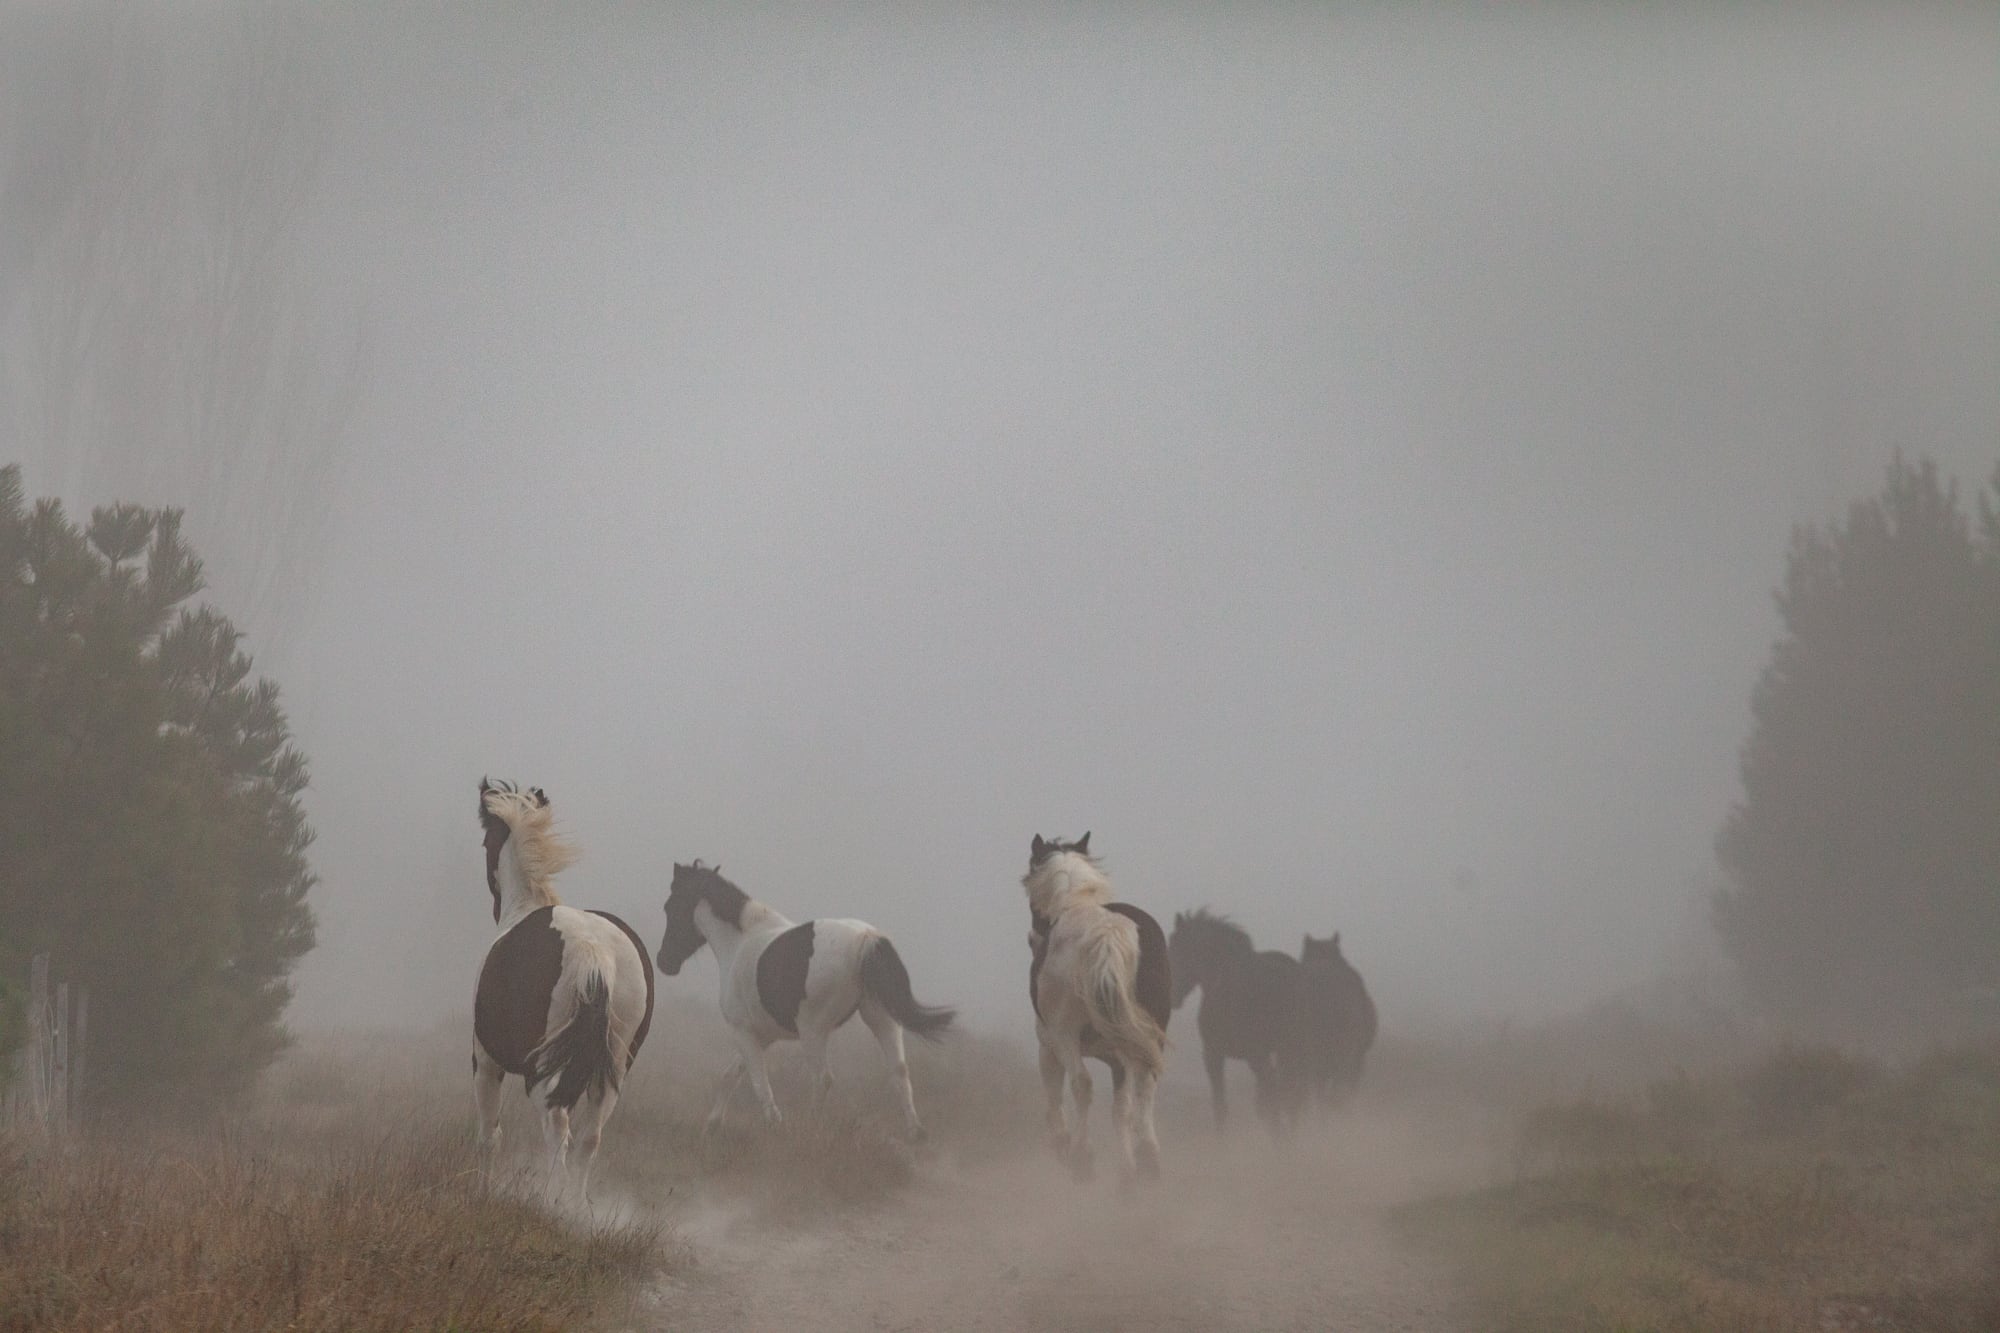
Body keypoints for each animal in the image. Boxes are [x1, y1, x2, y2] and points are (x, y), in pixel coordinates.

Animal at [472, 780, 655, 1202]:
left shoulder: (484, 1061)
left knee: (557, 1129)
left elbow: (490, 1136)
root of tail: (592, 950)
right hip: (614, 1068)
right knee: (589, 1138)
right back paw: (575, 1205)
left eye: (487, 841)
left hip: (543, 1070)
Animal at [655, 859, 954, 1141]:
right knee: (899, 1071)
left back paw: (810, 1131)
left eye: (670, 906)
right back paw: (916, 1134)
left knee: (822, 1079)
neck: (741, 942)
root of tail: (866, 939)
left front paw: (776, 1127)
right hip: (881, 1018)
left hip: (814, 1030)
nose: (663, 962)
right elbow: (731, 1075)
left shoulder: (743, 1031)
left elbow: (759, 1084)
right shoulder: (763, 1035)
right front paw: (711, 1127)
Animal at [1022, 833, 1169, 1184]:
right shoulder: (1119, 1059)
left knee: (1082, 1084)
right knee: (1146, 1087)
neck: (1075, 904)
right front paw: (1128, 1168)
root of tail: (1108, 932)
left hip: (1064, 1036)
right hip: (1147, 1038)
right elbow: (1121, 1110)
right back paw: (1146, 1161)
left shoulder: (1048, 1045)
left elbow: (1056, 1097)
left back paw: (1080, 1157)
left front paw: (1064, 1143)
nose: (1032, 938)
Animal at [1168, 908, 1309, 1138]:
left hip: (1262, 1055)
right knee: (1291, 1098)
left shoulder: (1213, 1054)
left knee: (1279, 1095)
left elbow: (1220, 1107)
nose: (1172, 996)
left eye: (1175, 947)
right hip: (1292, 1052)